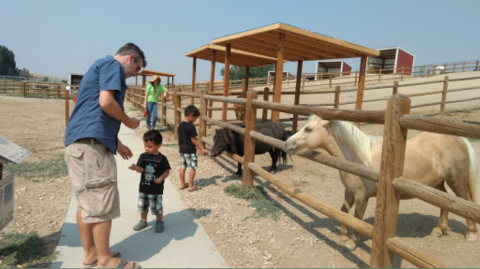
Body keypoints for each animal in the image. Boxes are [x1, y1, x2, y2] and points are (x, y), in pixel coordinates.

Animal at [284, 114, 476, 249]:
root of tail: (460, 139)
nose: (286, 144)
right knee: (445, 202)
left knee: (465, 203)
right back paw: (438, 229)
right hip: (436, 185)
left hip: (457, 181)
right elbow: (343, 212)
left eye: (308, 129)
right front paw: (343, 236)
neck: (359, 159)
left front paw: (352, 242)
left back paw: (471, 233)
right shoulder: (349, 192)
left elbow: (358, 219)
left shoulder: (362, 197)